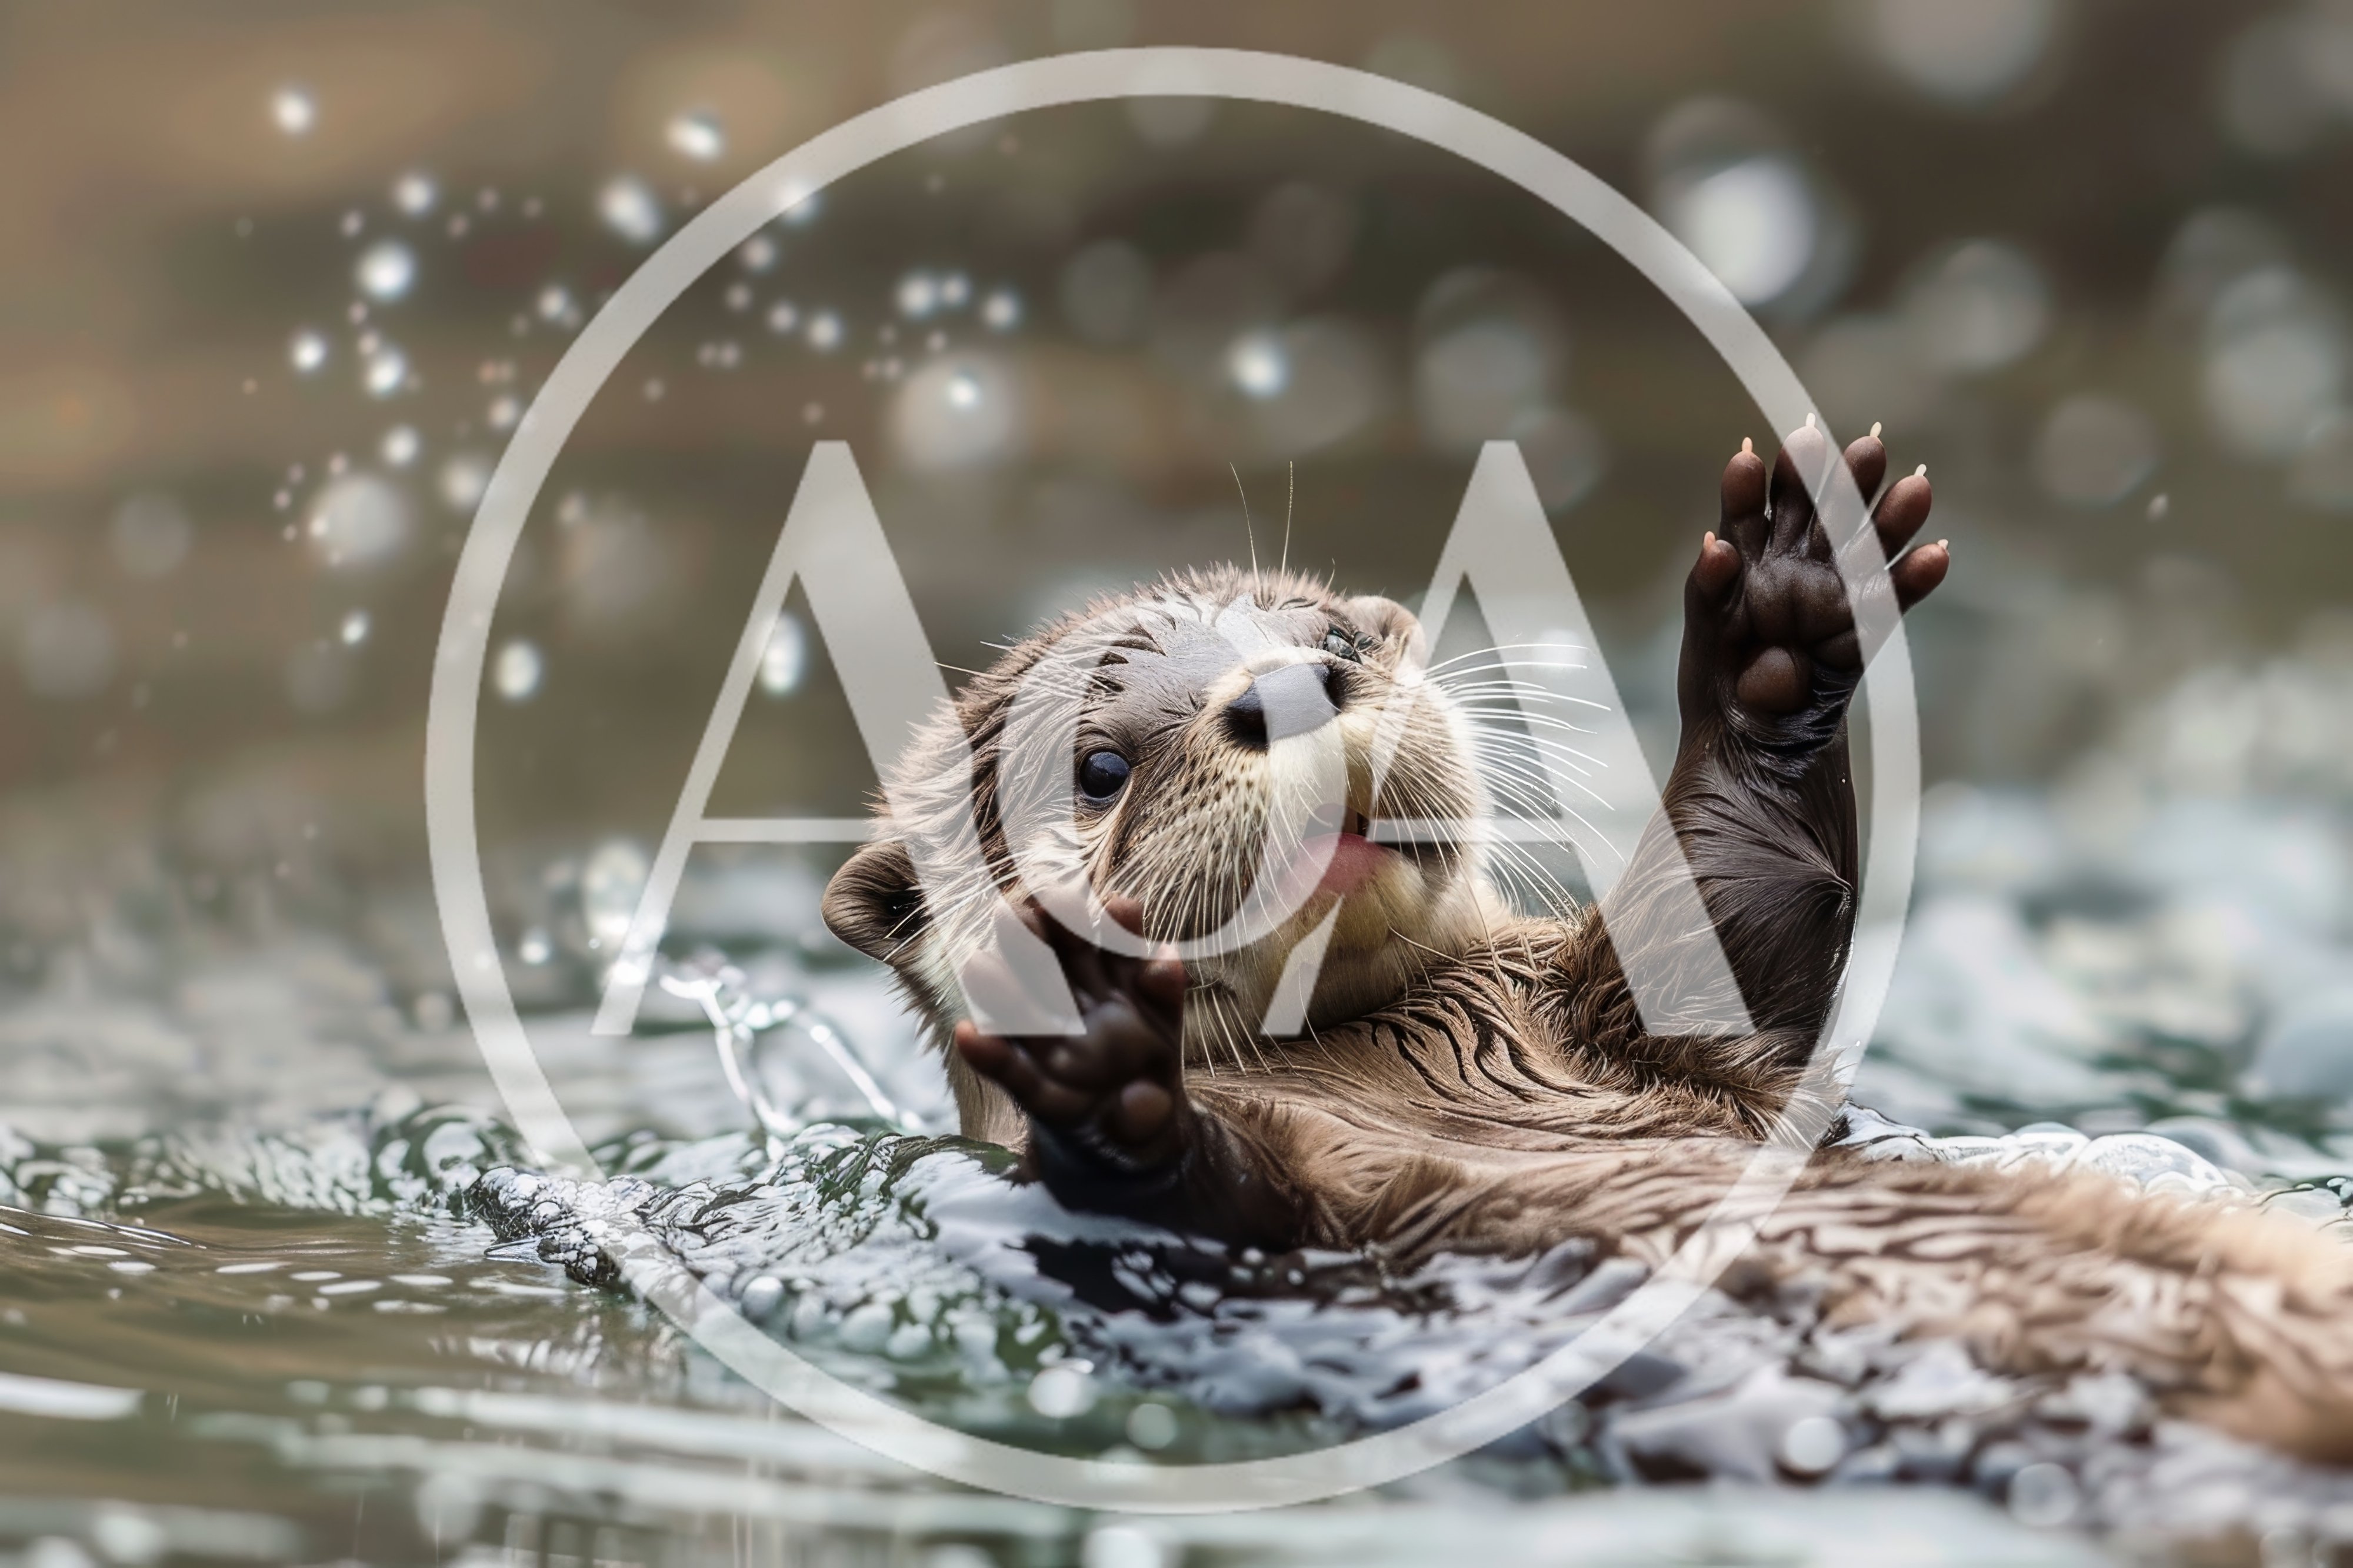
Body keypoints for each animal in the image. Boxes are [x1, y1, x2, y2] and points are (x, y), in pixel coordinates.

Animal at [821, 426, 2353, 1463]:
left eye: (1329, 640)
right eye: (1092, 765)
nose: (1290, 684)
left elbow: (1729, 909)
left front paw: (1780, 626)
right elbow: (1197, 1205)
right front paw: (1088, 1031)